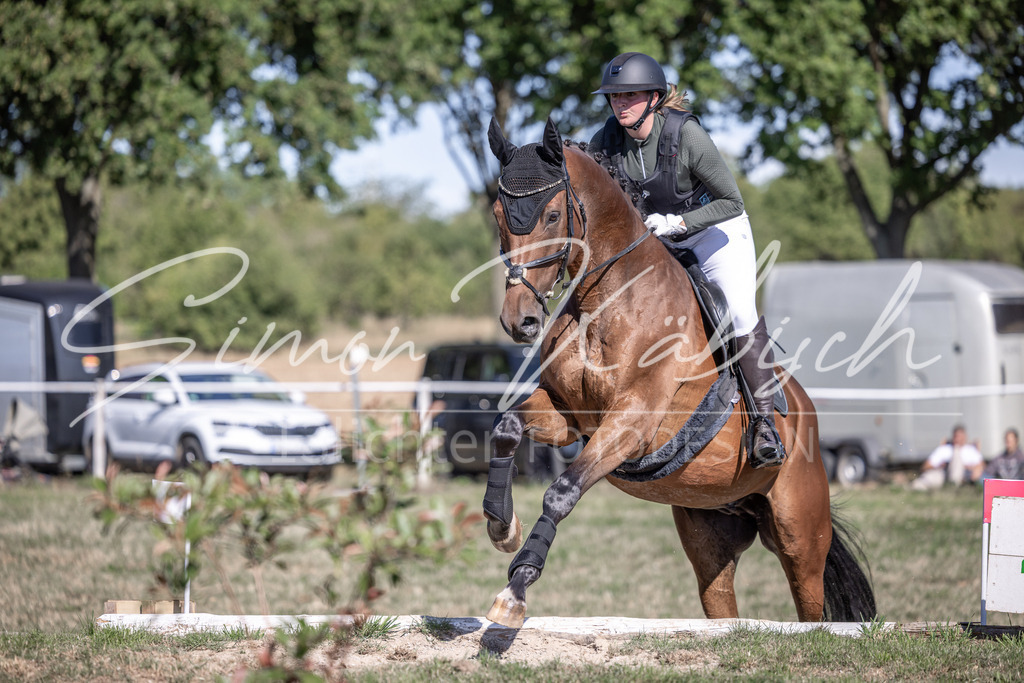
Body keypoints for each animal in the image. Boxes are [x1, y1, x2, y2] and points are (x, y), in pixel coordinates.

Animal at [479, 117, 876, 628]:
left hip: (801, 538)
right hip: (710, 537)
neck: (605, 296)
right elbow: (507, 426)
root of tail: (807, 412)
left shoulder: (633, 421)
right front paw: (501, 525)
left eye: (550, 216)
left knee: (810, 604)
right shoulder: (569, 415)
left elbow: (561, 492)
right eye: (498, 214)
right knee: (722, 603)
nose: (520, 320)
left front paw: (514, 593)